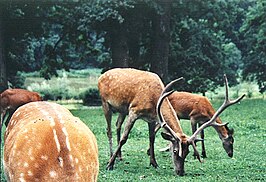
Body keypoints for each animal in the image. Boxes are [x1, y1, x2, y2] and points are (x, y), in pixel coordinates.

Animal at [98, 67, 245, 176]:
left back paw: (120, 156)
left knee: (117, 126)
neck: (154, 100)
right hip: (105, 103)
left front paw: (154, 163)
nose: (181, 172)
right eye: (175, 151)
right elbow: (125, 138)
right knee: (109, 130)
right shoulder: (134, 111)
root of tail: (101, 76)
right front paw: (109, 165)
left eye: (187, 152)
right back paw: (112, 157)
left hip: (122, 110)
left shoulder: (152, 118)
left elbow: (152, 138)